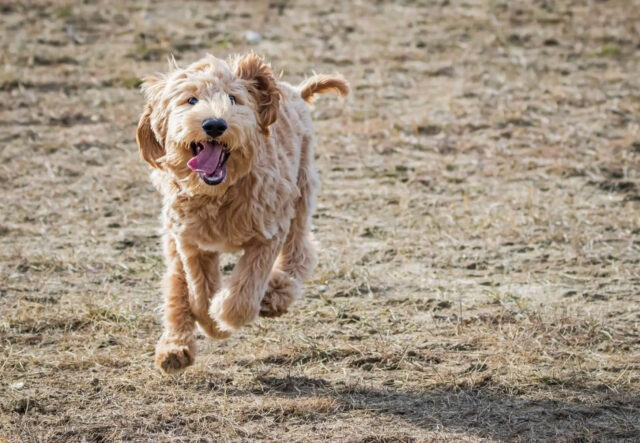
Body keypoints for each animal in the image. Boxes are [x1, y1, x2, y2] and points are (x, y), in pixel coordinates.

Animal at [132, 53, 348, 374]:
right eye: (191, 100)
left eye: (233, 99)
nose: (214, 124)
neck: (220, 193)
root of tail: (295, 91)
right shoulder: (191, 242)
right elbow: (198, 293)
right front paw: (210, 322)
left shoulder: (269, 231)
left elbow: (243, 297)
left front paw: (223, 317)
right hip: (173, 234)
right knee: (176, 284)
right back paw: (174, 349)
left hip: (300, 192)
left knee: (300, 250)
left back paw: (275, 293)